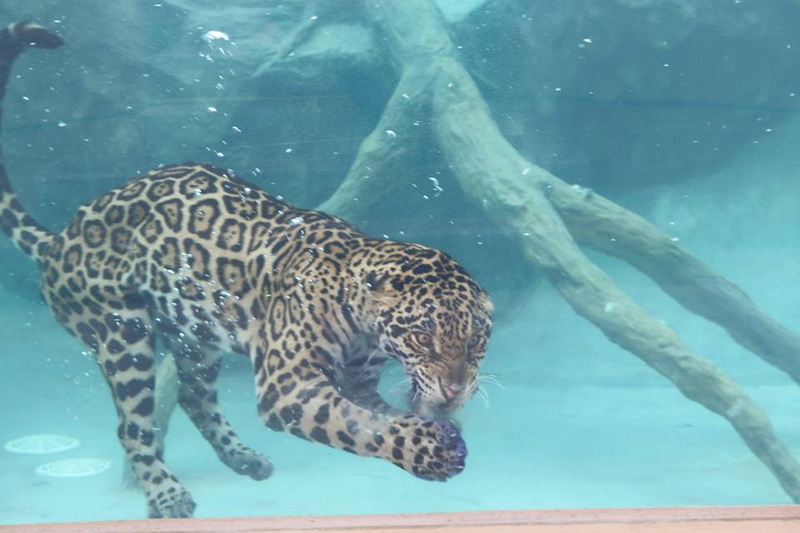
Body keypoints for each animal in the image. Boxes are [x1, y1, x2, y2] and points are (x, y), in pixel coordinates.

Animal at [0, 22, 492, 518]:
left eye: (476, 341)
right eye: (423, 338)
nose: (454, 391)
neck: (360, 308)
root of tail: (60, 239)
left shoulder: (358, 382)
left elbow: (376, 415)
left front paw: (436, 431)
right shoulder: (288, 386)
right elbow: (354, 425)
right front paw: (427, 449)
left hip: (193, 334)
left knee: (193, 396)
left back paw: (244, 458)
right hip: (121, 333)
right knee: (133, 426)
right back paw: (167, 495)